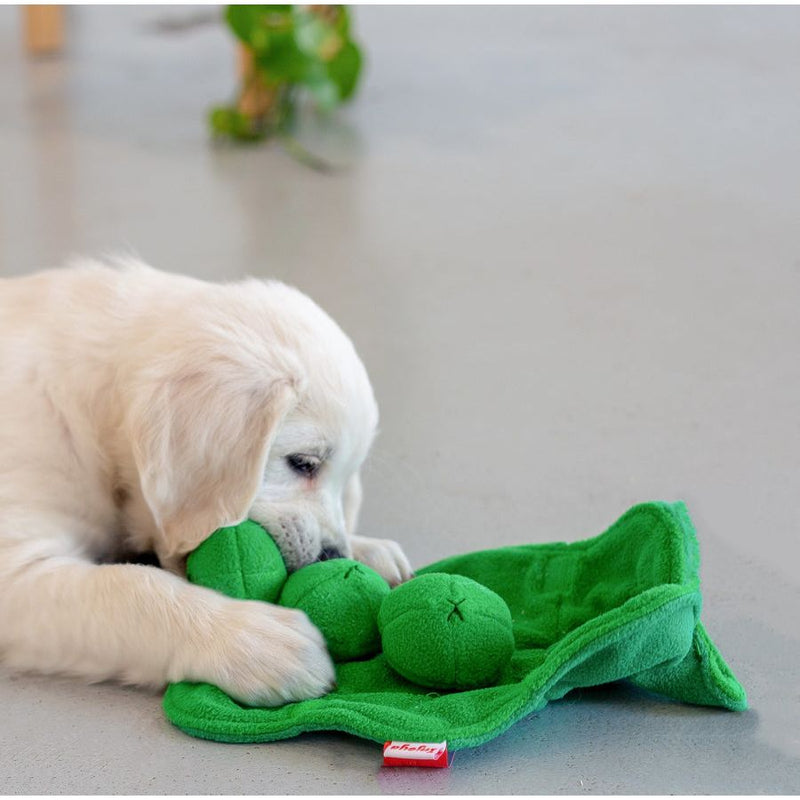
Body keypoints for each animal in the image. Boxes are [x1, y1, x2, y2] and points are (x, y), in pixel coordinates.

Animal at [0, 258, 412, 708]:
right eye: (303, 463)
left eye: (344, 479)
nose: (333, 556)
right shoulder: (15, 573)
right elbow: (132, 586)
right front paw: (253, 638)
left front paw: (368, 549)